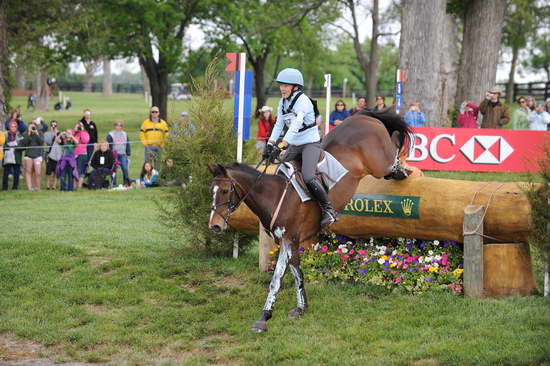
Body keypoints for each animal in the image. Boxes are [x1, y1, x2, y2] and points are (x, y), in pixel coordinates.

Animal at [209, 110, 412, 334]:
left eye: (225, 191)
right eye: (212, 191)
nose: (214, 225)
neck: (273, 195)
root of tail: (364, 117)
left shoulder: (289, 239)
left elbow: (281, 278)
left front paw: (268, 316)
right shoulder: (287, 242)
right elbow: (292, 275)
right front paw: (296, 309)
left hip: (378, 164)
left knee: (393, 146)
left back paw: (402, 167)